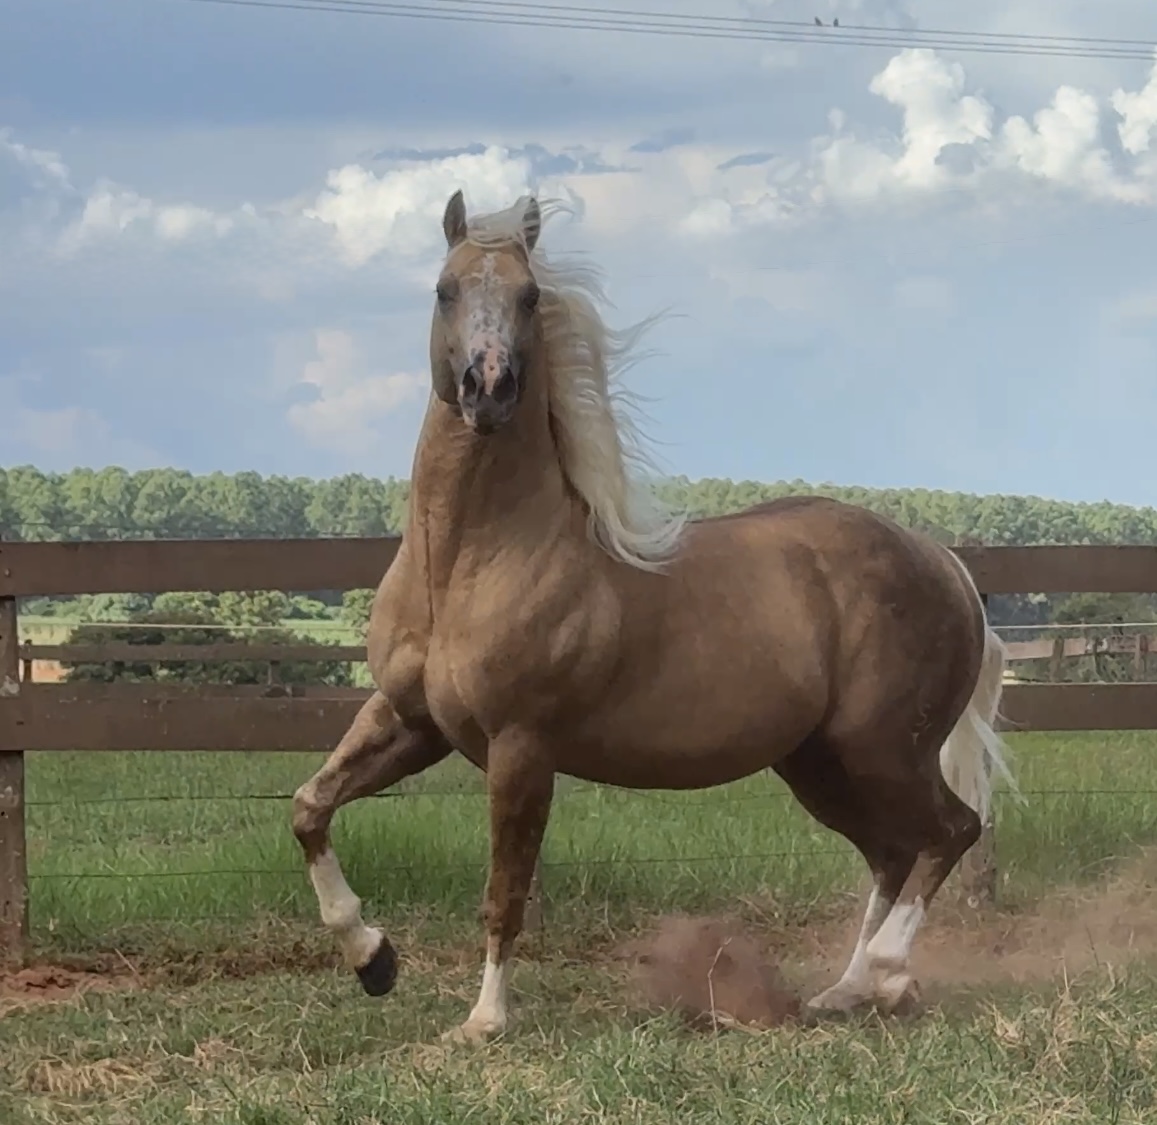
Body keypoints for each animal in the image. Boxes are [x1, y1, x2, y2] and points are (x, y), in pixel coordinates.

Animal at [291, 189, 1017, 1043]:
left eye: (529, 297)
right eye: (445, 289)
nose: (487, 388)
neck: (472, 563)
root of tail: (944, 563)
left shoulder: (520, 747)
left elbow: (504, 892)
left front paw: (484, 1019)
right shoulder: (411, 722)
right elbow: (310, 808)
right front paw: (372, 959)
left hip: (882, 748)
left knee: (948, 832)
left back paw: (886, 974)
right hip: (819, 762)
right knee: (892, 852)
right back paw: (844, 990)